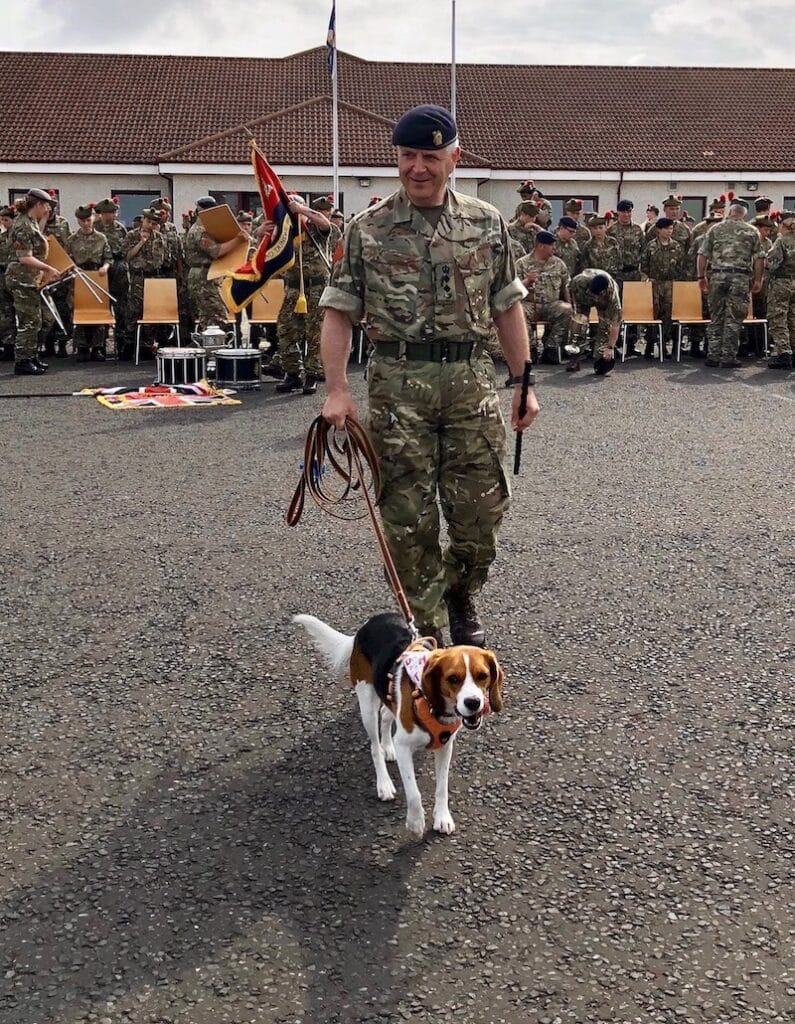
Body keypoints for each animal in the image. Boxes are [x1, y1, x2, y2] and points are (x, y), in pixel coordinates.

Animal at [290, 610, 504, 835]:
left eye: (483, 676)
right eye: (453, 678)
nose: (473, 703)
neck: (431, 704)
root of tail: (367, 625)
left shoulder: (445, 746)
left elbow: (442, 786)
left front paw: (443, 817)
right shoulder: (404, 747)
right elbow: (413, 792)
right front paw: (416, 822)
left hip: (390, 700)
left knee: (385, 715)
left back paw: (388, 747)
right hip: (366, 703)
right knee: (374, 747)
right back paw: (383, 782)